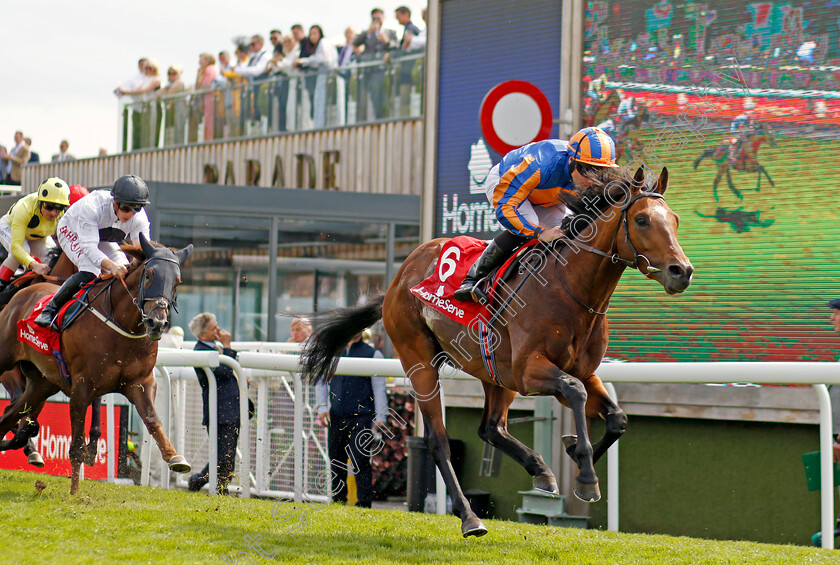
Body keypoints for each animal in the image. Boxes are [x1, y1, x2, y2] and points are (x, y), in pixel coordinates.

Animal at [0, 234, 192, 494]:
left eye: (177, 281)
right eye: (149, 275)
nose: (157, 322)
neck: (122, 325)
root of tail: (21, 295)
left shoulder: (140, 383)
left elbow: (153, 419)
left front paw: (175, 457)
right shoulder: (82, 386)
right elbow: (76, 444)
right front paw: (74, 493)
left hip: (42, 383)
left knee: (9, 415)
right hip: (7, 361)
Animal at [298, 167, 692, 536]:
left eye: (674, 219)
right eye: (641, 220)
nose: (682, 271)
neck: (572, 291)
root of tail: (398, 278)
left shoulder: (582, 371)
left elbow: (616, 418)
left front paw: (575, 458)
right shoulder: (530, 371)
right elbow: (576, 393)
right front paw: (585, 474)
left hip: (494, 371)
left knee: (490, 428)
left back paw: (541, 470)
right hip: (419, 360)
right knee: (439, 441)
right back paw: (470, 517)